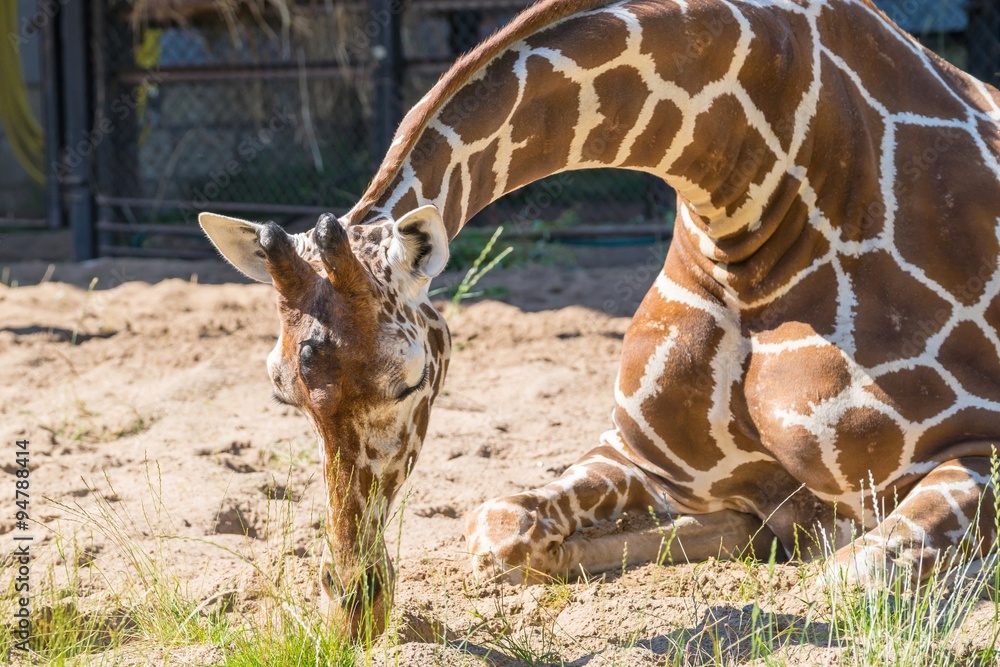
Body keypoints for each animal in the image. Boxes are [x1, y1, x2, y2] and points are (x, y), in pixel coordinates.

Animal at [199, 0, 1000, 635]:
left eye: (410, 381)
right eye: (281, 389)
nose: (353, 608)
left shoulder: (977, 448)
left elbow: (853, 572)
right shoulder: (643, 457)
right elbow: (501, 529)